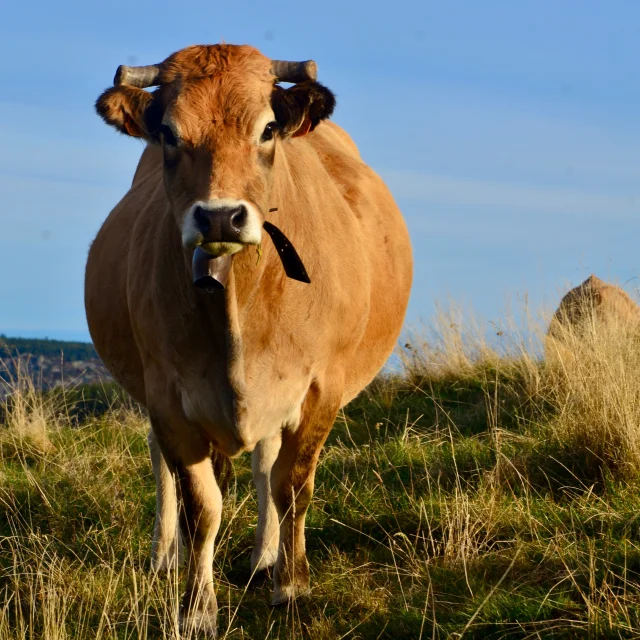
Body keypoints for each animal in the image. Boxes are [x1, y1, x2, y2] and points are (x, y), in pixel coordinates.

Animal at [85, 44, 412, 635]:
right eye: (167, 133)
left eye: (267, 129)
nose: (220, 217)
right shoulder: (168, 397)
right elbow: (201, 505)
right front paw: (197, 608)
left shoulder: (319, 388)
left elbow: (291, 486)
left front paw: (291, 584)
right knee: (165, 467)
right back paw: (164, 556)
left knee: (265, 467)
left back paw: (265, 558)